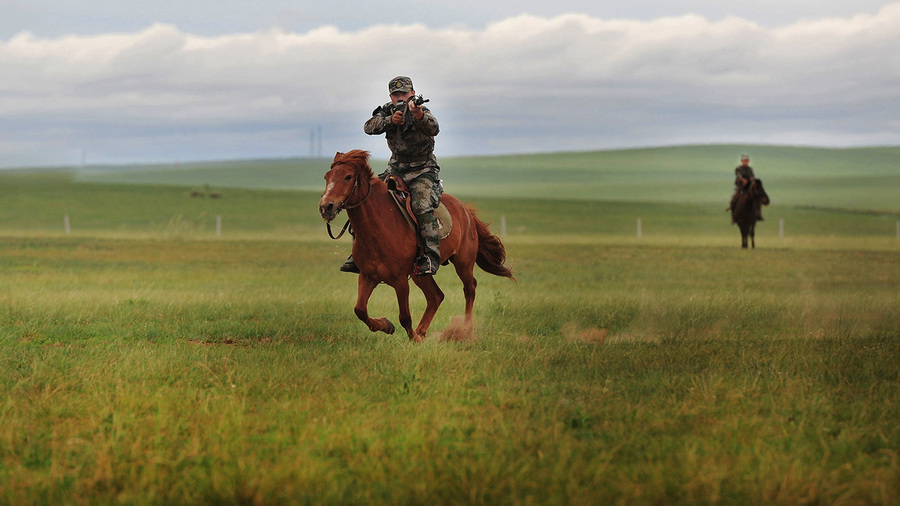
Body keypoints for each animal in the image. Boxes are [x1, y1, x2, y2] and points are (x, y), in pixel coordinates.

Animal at [318, 148, 512, 342]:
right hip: (420, 273)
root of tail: (465, 209)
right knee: (436, 296)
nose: (325, 207)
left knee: (469, 288)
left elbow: (404, 317)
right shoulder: (367, 276)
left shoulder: (400, 280)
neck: (378, 229)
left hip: (463, 262)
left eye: (348, 176)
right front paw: (386, 325)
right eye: (326, 177)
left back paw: (465, 330)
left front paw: (413, 339)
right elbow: (360, 310)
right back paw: (423, 331)